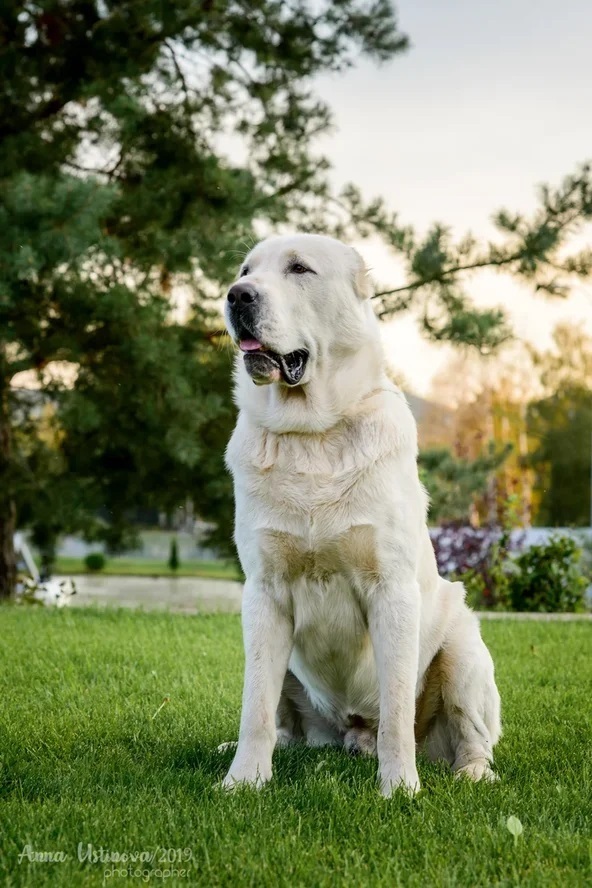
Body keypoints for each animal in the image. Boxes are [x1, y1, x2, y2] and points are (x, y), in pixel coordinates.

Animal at [221, 232, 500, 796]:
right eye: (245, 270)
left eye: (299, 269)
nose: (237, 296)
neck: (311, 435)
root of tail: (350, 732)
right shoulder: (263, 594)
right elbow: (254, 707)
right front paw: (243, 781)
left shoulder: (390, 590)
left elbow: (395, 712)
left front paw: (399, 788)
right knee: (282, 721)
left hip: (462, 647)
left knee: (471, 731)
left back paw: (472, 771)